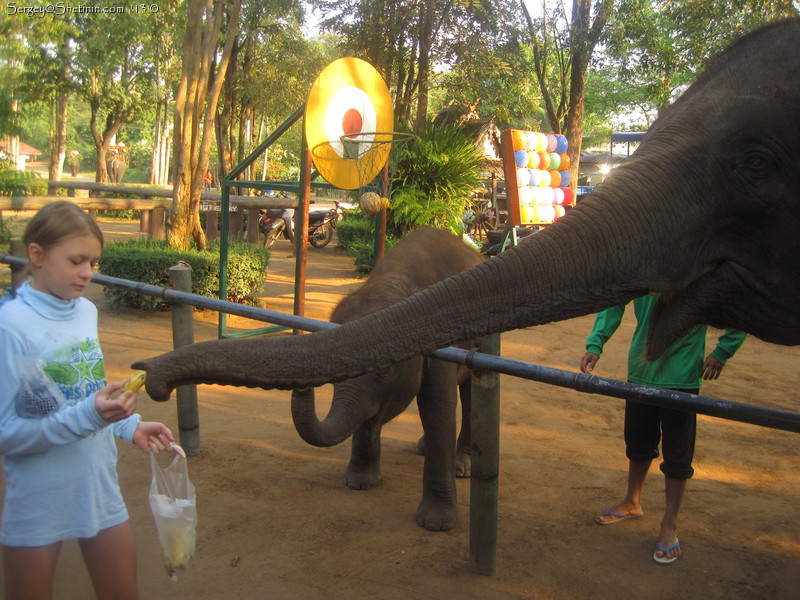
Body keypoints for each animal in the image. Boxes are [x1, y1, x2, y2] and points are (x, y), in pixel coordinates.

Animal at [290, 226, 484, 528]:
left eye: (383, 369)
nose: (301, 385)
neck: (395, 281)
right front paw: (359, 483)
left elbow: (437, 405)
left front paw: (436, 524)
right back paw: (423, 447)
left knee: (468, 394)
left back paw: (461, 467)